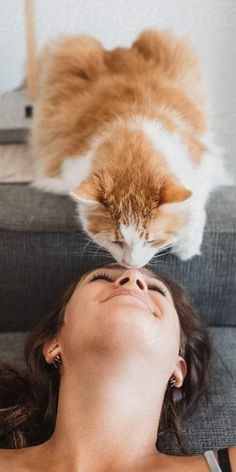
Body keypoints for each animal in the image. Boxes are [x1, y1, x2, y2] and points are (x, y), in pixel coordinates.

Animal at [30, 29, 232, 270]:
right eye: (116, 241)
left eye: (152, 240)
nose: (132, 265)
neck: (132, 138)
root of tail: (120, 49)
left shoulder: (203, 162)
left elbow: (196, 203)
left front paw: (187, 247)